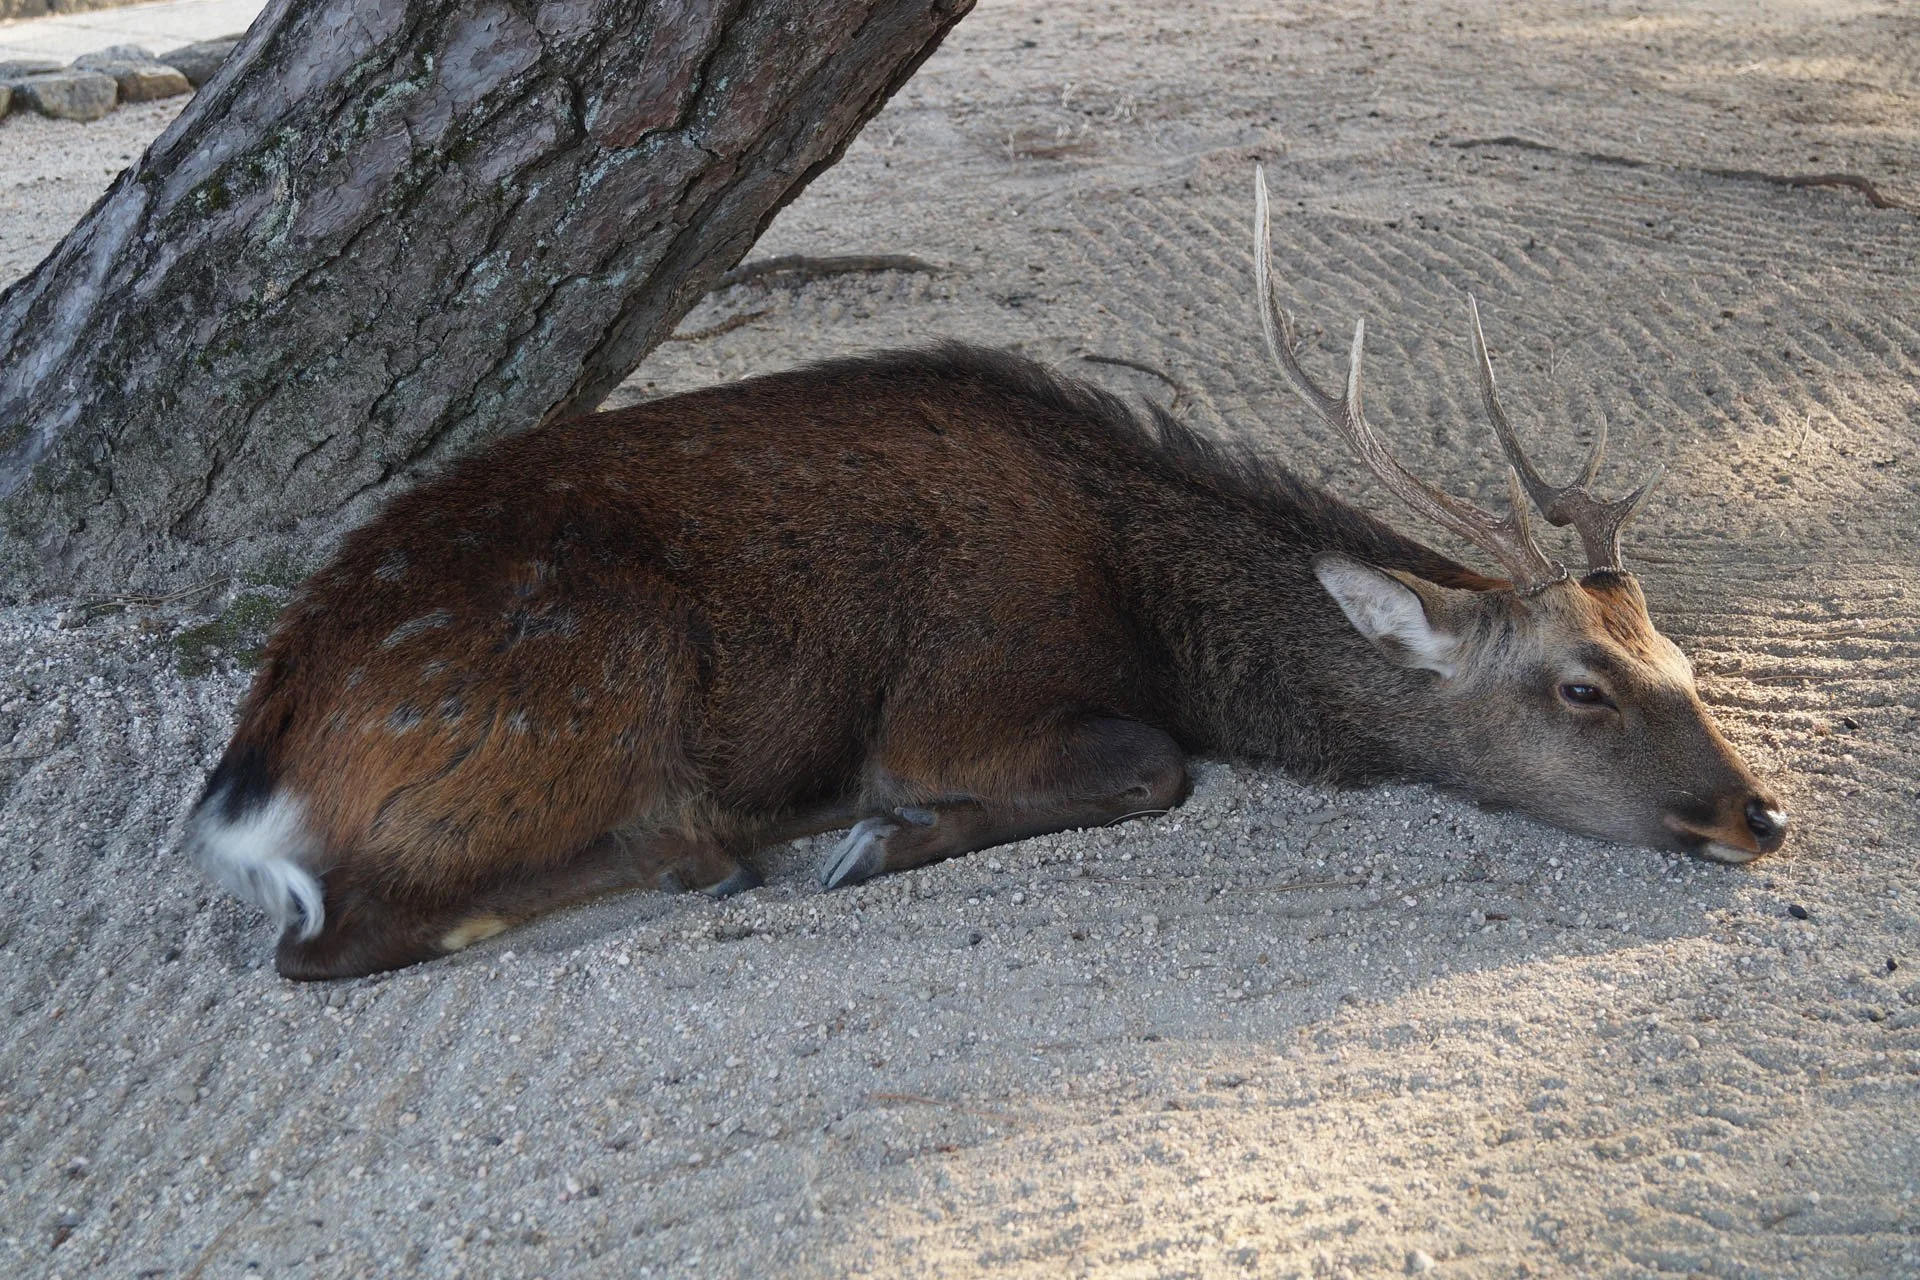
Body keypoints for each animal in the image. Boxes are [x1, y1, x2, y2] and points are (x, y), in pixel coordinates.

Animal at [186, 168, 1787, 980]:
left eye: (1682, 662)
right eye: (1581, 687)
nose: (1755, 815)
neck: (1150, 612)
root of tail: (252, 773)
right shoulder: (960, 695)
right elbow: (1147, 765)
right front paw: (880, 836)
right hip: (600, 675)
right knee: (328, 939)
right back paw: (732, 844)